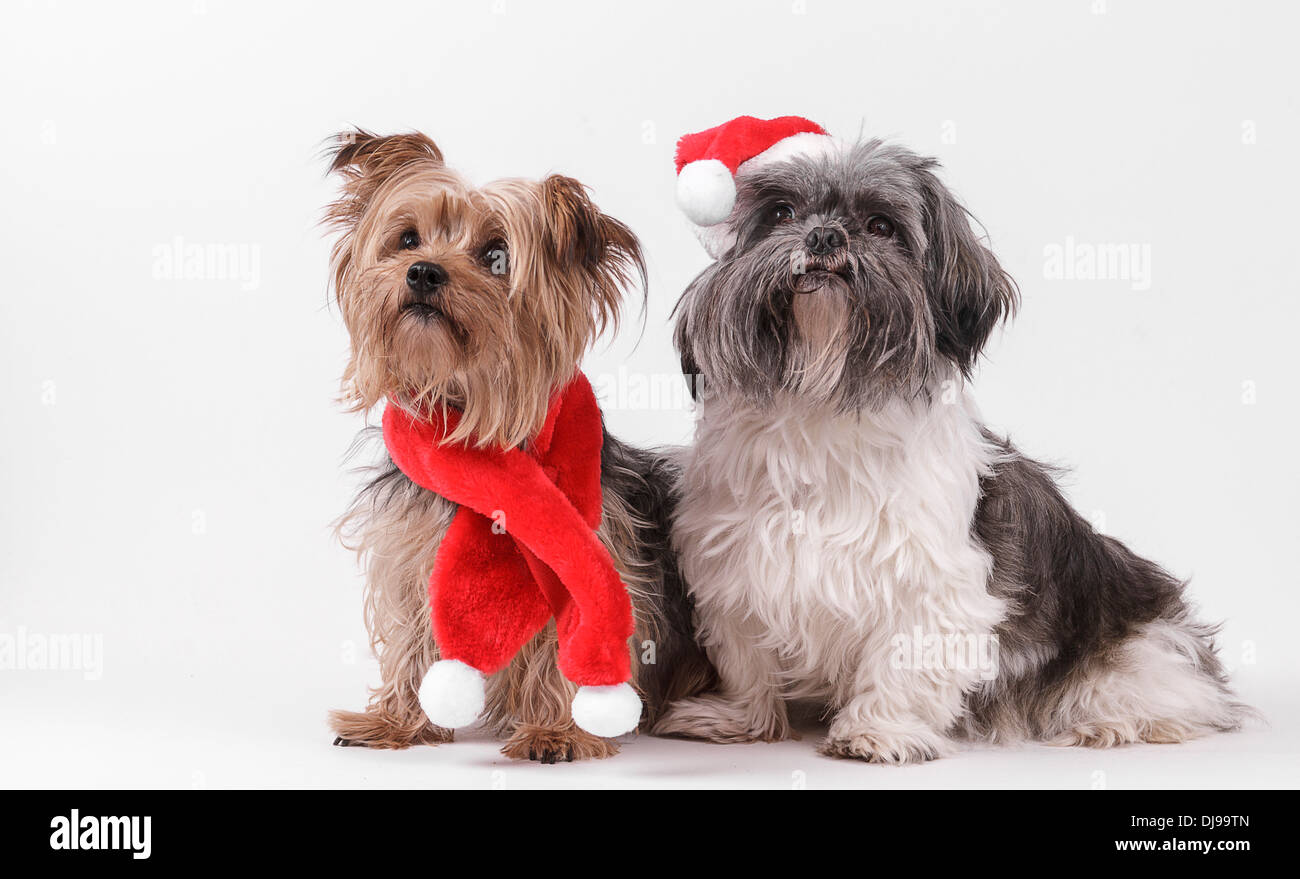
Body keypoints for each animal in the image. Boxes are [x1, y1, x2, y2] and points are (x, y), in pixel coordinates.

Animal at [655, 126, 1242, 764]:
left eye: (881, 225)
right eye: (781, 213)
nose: (825, 234)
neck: (824, 395)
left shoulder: (931, 580)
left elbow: (905, 660)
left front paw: (877, 731)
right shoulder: (735, 568)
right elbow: (748, 661)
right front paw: (741, 719)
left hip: (1141, 643)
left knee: (1163, 691)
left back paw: (1114, 721)